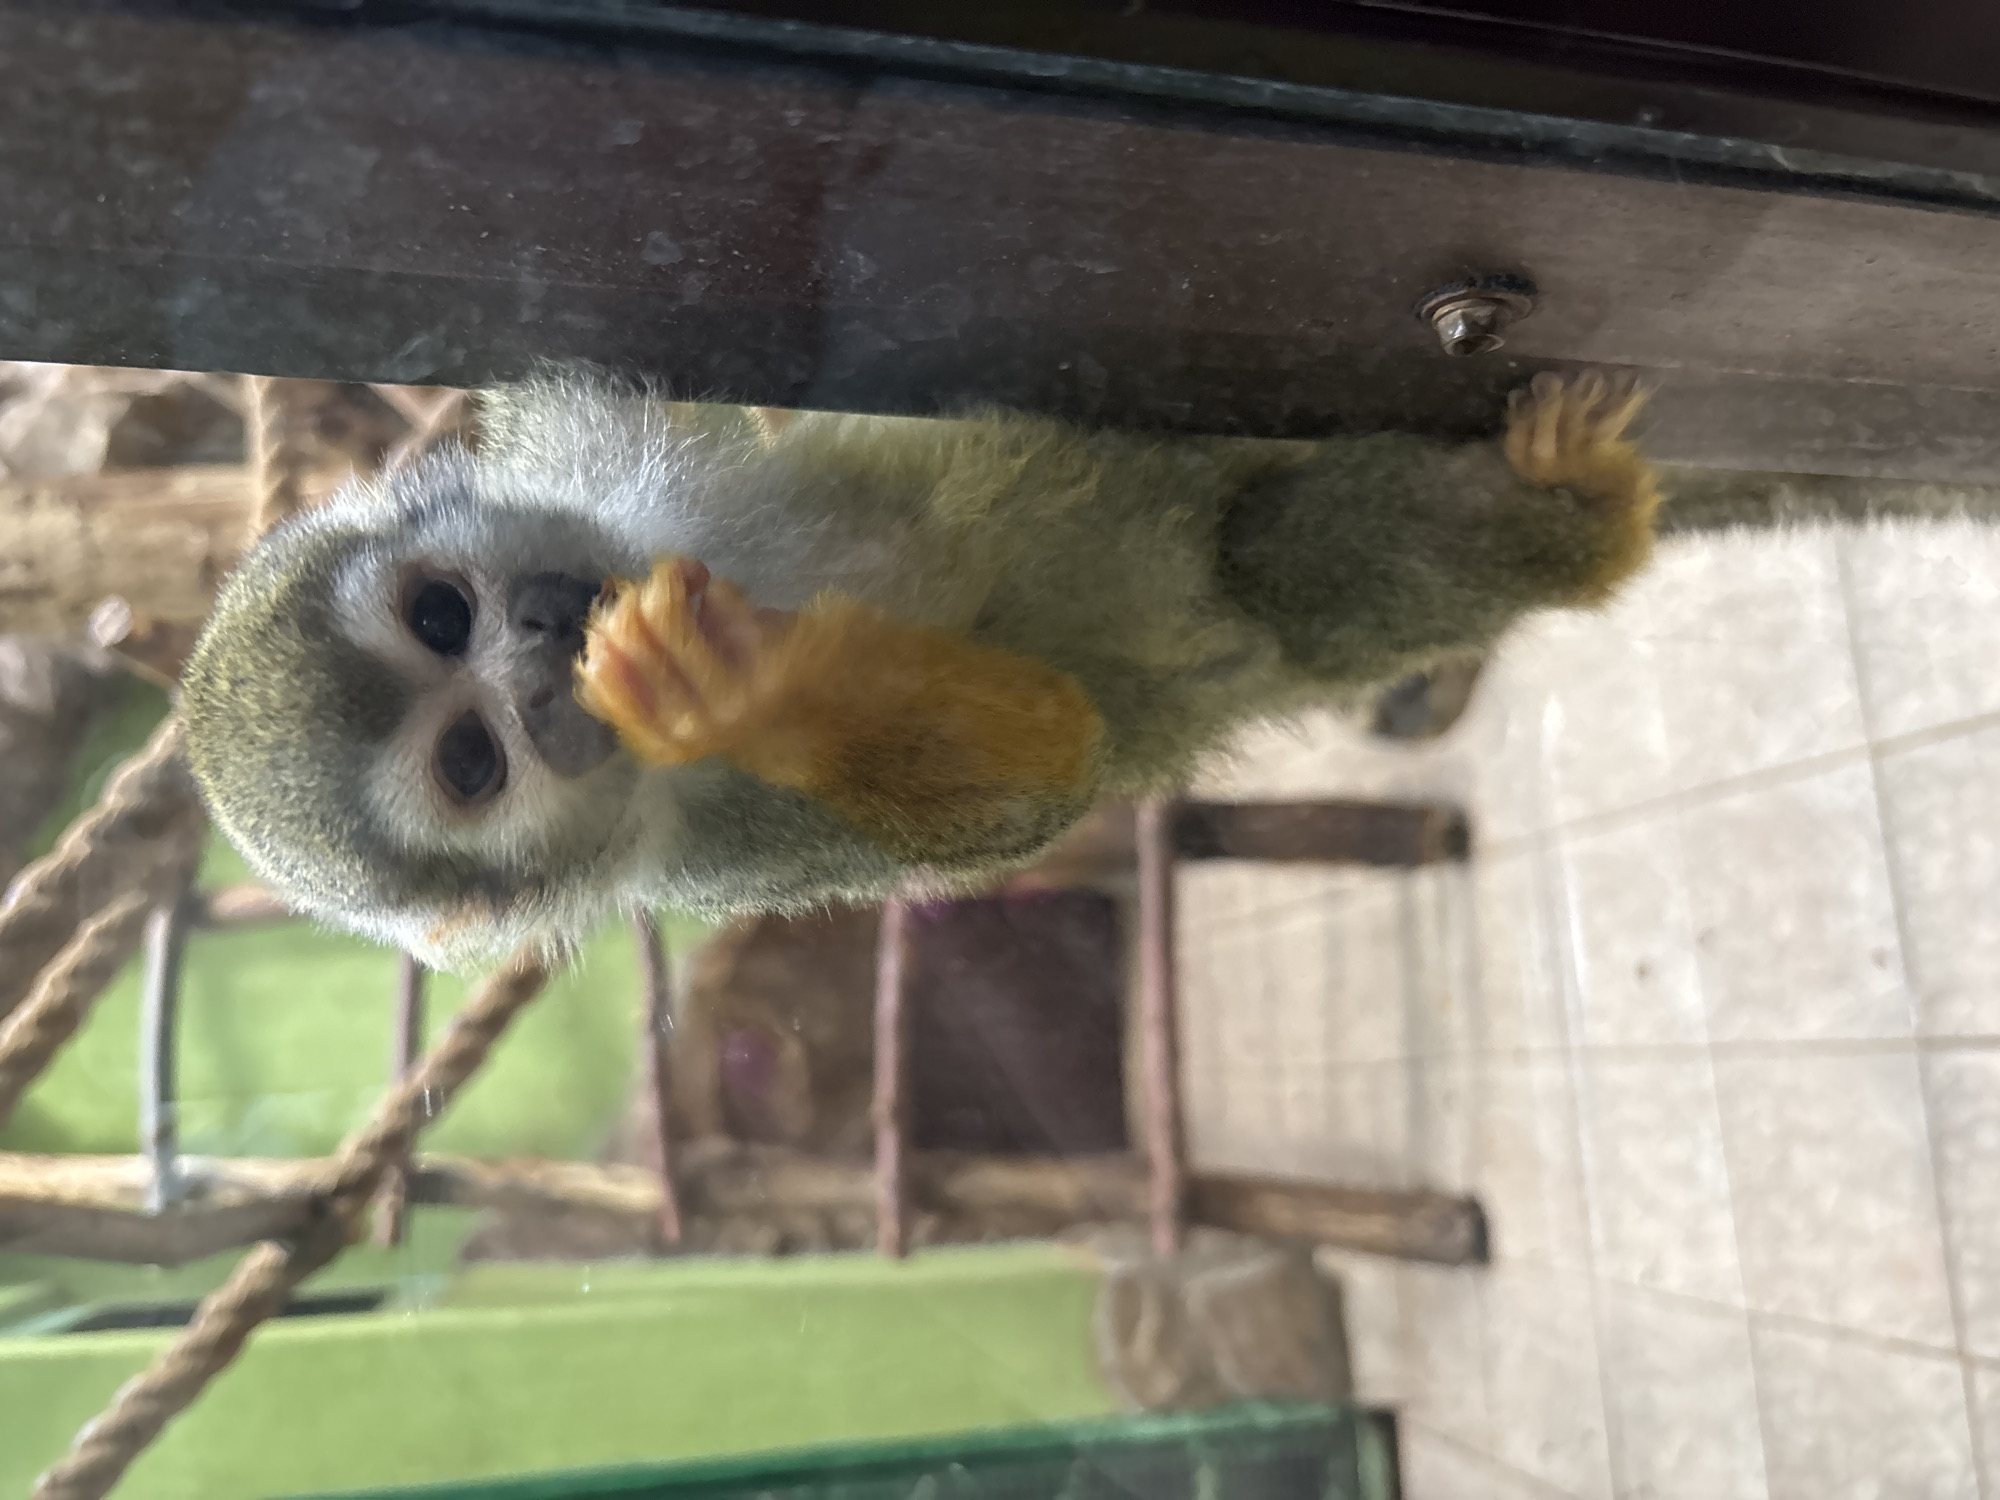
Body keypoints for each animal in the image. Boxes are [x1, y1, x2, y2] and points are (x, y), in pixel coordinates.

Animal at [176, 367, 1660, 970]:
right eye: (476, 762)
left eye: (440, 613)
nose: (538, 637)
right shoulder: (708, 857)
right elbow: (1042, 785)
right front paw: (756, 697)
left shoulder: (567, 456)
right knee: (1288, 574)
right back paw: (1573, 524)